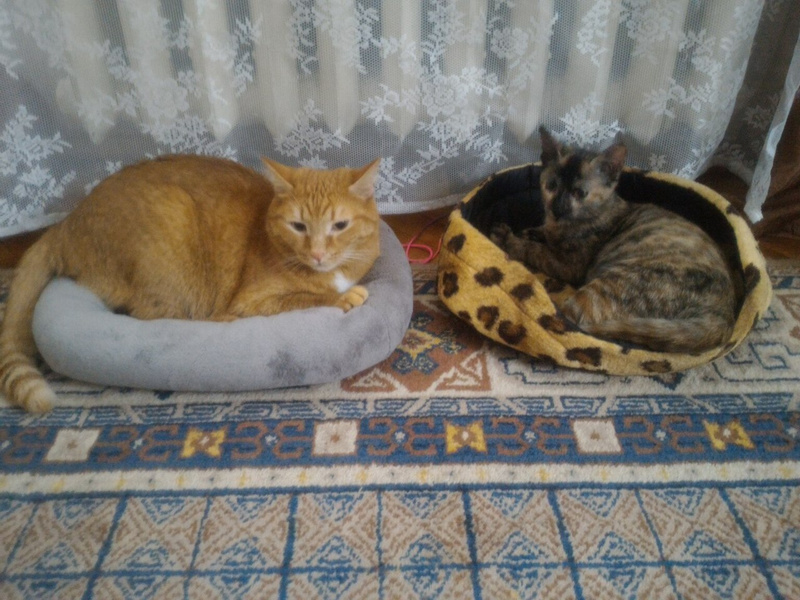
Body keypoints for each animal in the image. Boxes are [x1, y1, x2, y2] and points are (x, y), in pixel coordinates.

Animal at [0, 155, 382, 413]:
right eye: (298, 226)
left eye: (340, 225)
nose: (317, 254)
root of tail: (66, 222)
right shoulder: (252, 300)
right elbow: (304, 297)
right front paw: (343, 296)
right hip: (173, 227)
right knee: (154, 316)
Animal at [490, 127, 736, 354]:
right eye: (551, 186)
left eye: (580, 193)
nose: (558, 209)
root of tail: (723, 315)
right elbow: (541, 233)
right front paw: (528, 232)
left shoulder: (569, 266)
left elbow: (536, 250)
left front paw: (510, 240)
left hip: (611, 285)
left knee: (564, 318)